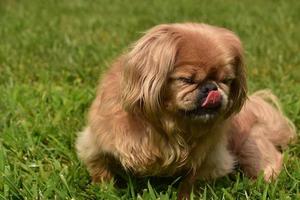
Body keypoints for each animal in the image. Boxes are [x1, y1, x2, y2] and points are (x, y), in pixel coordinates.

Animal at [76, 23, 296, 198]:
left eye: (226, 81)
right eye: (187, 80)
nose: (212, 88)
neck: (168, 126)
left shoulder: (209, 159)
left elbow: (192, 181)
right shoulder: (97, 144)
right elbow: (100, 170)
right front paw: (104, 191)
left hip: (249, 144)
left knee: (270, 160)